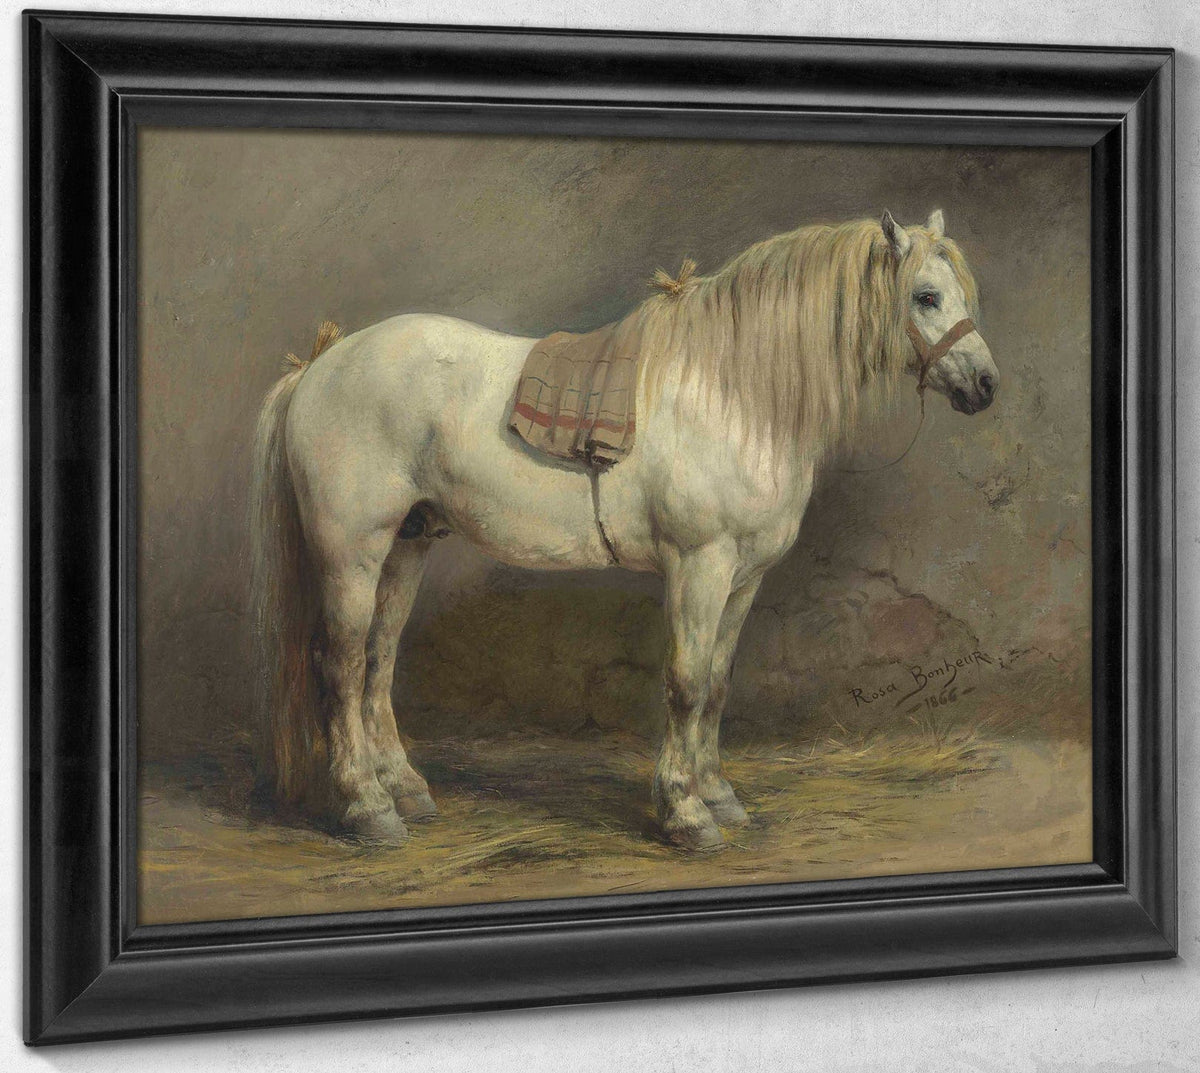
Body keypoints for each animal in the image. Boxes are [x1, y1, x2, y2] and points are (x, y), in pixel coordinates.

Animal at [250, 209, 998, 851]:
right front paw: (686, 813)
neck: (734, 392)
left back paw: (403, 791)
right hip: (352, 551)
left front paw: (718, 794)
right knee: (342, 665)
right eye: (926, 295)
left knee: (377, 664)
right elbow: (686, 683)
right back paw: (365, 807)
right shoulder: (701, 565)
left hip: (406, 546)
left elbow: (718, 683)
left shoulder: (745, 578)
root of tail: (320, 365)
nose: (987, 386)